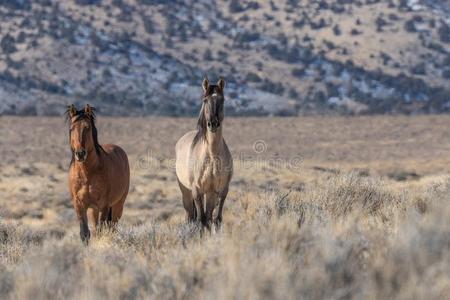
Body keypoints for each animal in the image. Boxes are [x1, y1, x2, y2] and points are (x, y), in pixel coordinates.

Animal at [67, 104, 130, 243]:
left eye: (87, 127)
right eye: (71, 128)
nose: (80, 154)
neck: (87, 174)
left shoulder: (104, 206)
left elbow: (101, 231)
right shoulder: (80, 205)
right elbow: (85, 233)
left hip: (118, 205)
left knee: (112, 228)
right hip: (93, 210)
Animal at [175, 78, 234, 230]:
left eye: (222, 100)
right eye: (205, 100)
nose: (213, 124)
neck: (212, 156)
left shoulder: (221, 190)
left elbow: (216, 219)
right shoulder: (197, 191)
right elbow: (200, 220)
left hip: (210, 194)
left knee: (207, 217)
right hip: (186, 192)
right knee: (190, 216)